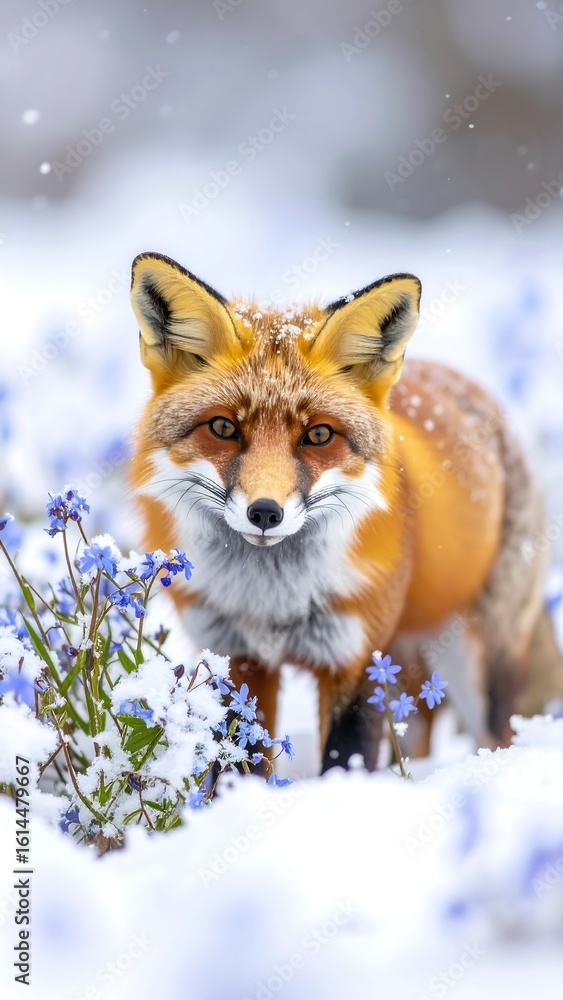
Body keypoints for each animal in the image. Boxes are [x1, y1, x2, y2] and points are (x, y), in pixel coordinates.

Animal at [130, 251, 563, 771]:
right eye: (223, 428)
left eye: (318, 435)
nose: (265, 513)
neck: (272, 603)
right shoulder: (237, 659)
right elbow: (238, 763)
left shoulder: (355, 659)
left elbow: (345, 761)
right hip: (406, 668)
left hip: (469, 664)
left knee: (495, 732)